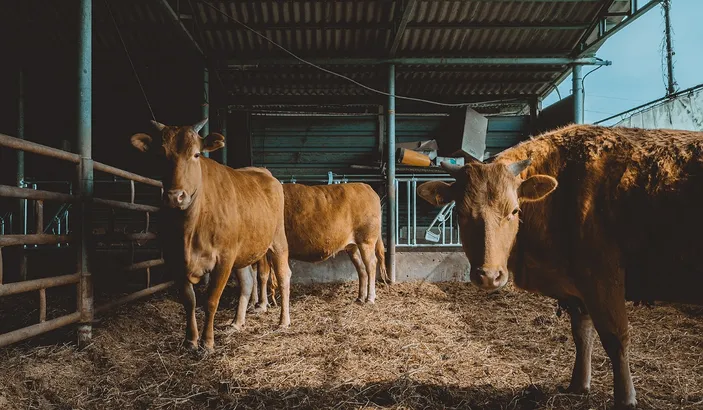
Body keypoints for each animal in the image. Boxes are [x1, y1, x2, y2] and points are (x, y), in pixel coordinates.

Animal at [131, 117, 292, 352]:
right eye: (161, 155)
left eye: (197, 154)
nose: (175, 197)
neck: (189, 230)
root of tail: (264, 173)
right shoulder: (174, 260)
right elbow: (189, 301)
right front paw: (190, 340)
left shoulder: (224, 259)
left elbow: (211, 300)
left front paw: (207, 342)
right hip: (241, 252)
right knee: (247, 283)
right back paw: (237, 323)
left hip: (278, 241)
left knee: (283, 276)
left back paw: (283, 321)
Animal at [245, 183, 384, 310]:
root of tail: (366, 187)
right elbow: (255, 275)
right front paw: (254, 303)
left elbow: (262, 275)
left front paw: (261, 304)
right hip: (352, 246)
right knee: (361, 268)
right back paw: (360, 297)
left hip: (367, 240)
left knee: (371, 264)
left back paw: (370, 298)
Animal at [416, 123, 703, 408]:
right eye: (461, 213)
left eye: (514, 211)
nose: (489, 275)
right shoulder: (578, 288)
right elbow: (582, 335)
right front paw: (578, 384)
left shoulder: (603, 279)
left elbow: (616, 339)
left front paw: (625, 398)